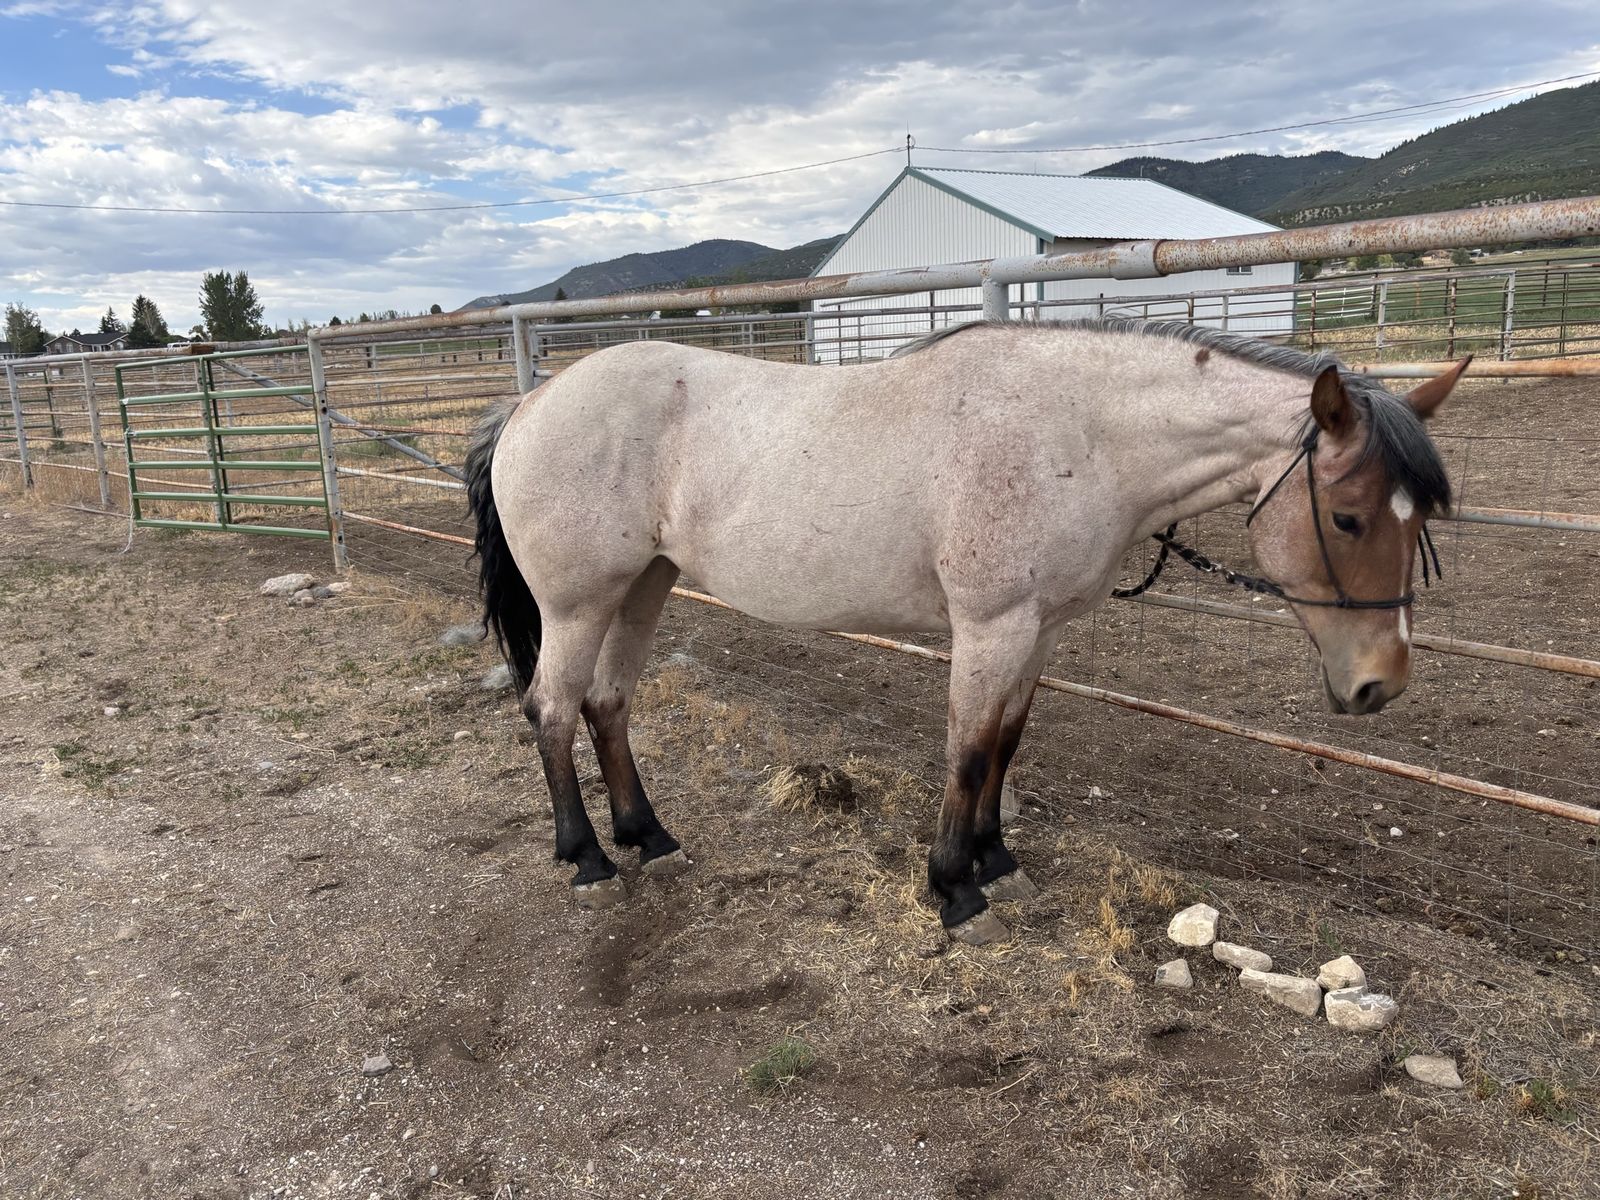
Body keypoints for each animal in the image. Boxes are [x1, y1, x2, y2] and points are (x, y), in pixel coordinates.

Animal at [465, 319, 1465, 945]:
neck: (1074, 433)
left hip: (642, 589)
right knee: (551, 709)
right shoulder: (990, 627)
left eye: (1418, 521)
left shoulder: (1038, 632)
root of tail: (528, 406)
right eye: (1347, 519)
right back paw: (589, 858)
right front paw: (954, 888)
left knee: (608, 705)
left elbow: (1007, 744)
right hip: (578, 604)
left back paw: (651, 838)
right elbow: (968, 750)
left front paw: (998, 861)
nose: (1381, 682)